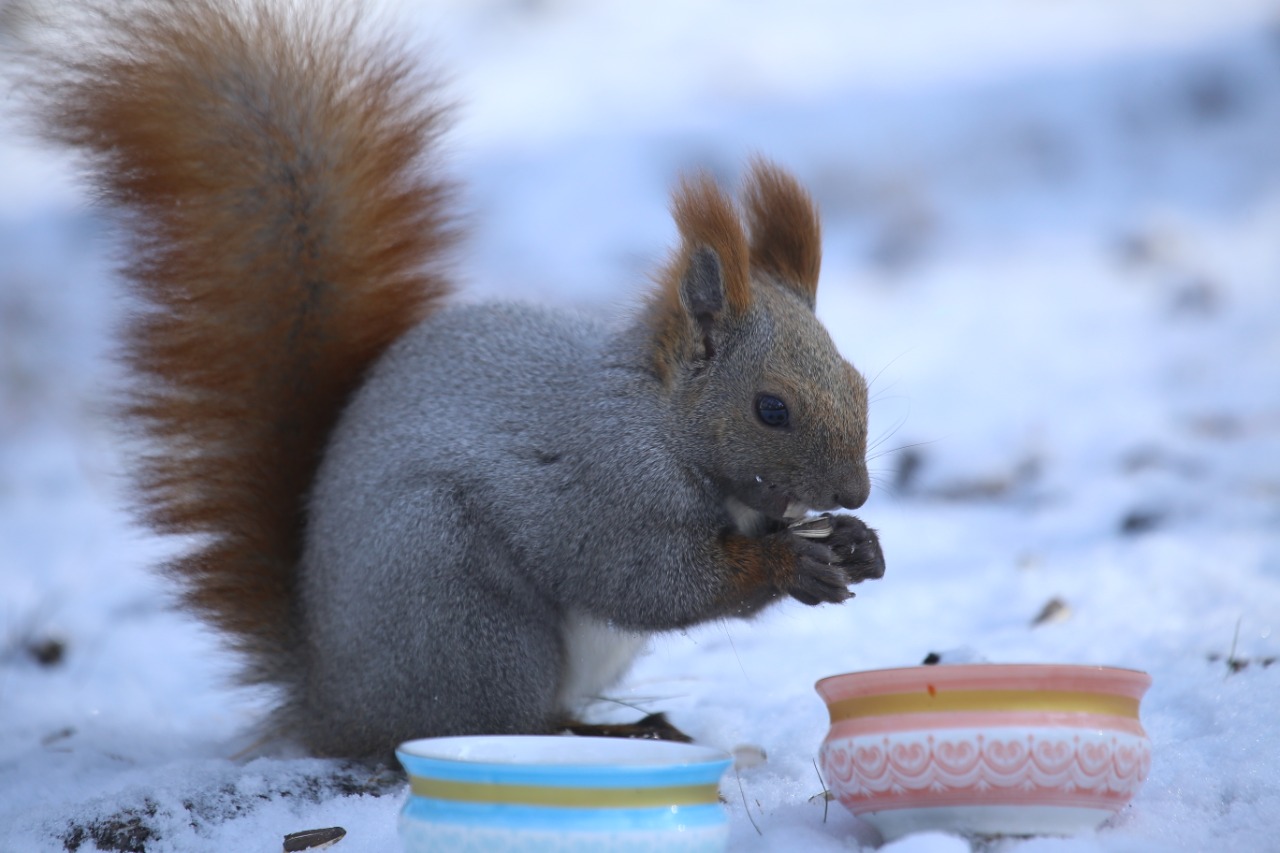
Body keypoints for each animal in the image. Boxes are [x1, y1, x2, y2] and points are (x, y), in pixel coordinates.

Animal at [10, 0, 885, 758]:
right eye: (770, 408)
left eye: (859, 382)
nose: (857, 490)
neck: (660, 420)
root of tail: (333, 702)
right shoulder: (604, 490)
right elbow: (654, 582)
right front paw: (790, 564)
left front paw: (856, 543)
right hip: (462, 610)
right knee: (499, 724)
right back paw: (606, 733)